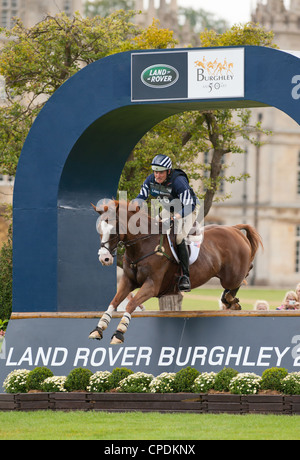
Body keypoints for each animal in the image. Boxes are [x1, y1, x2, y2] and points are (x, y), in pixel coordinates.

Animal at [88, 199, 262, 344]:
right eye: (99, 230)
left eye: (114, 229)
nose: (104, 258)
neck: (143, 244)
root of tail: (234, 229)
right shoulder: (128, 281)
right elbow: (114, 302)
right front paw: (98, 328)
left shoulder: (152, 285)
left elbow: (131, 303)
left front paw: (119, 332)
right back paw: (230, 300)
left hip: (231, 275)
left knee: (244, 275)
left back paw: (230, 299)